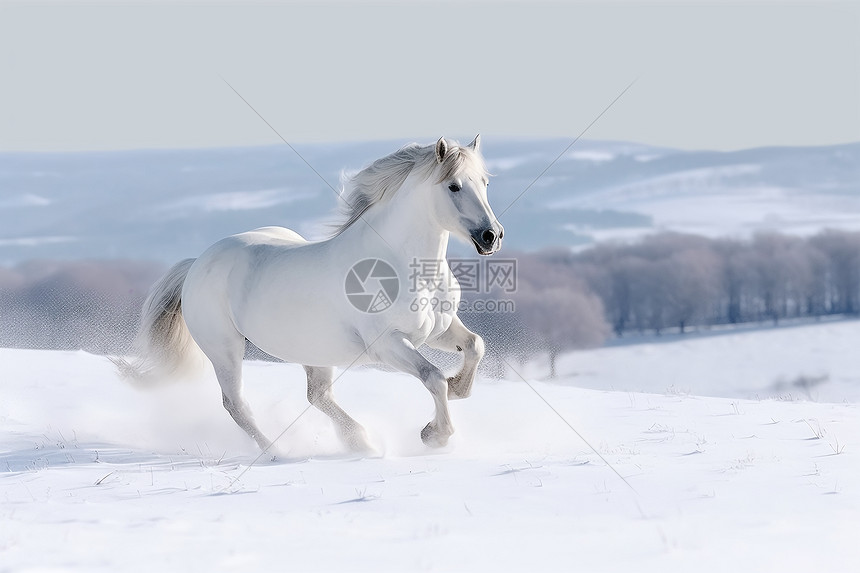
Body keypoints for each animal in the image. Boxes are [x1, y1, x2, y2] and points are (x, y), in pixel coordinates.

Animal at [116, 135, 504, 452]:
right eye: (453, 186)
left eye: (485, 182)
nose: (492, 236)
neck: (402, 264)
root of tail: (197, 263)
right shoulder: (387, 344)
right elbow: (432, 378)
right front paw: (434, 435)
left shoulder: (437, 330)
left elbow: (475, 346)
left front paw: (459, 388)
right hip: (224, 350)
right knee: (236, 405)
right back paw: (278, 453)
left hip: (314, 350)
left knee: (317, 395)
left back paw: (360, 441)